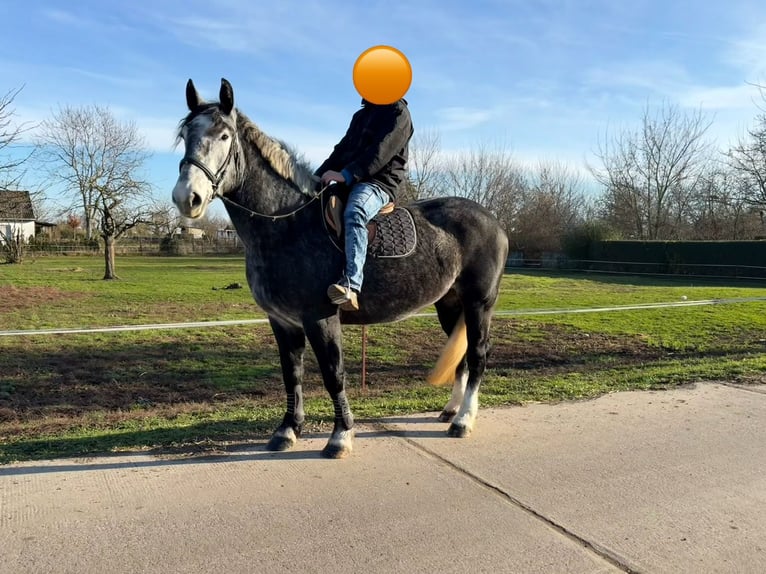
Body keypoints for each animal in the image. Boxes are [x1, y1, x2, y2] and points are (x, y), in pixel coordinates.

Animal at [174, 80, 510, 460]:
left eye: (224, 135)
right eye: (185, 134)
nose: (187, 197)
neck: (287, 224)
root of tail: (494, 221)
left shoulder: (321, 317)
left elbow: (333, 374)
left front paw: (340, 437)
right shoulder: (283, 321)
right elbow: (292, 374)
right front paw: (287, 431)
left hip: (480, 303)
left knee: (479, 354)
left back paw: (464, 421)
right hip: (451, 303)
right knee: (463, 356)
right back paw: (451, 411)